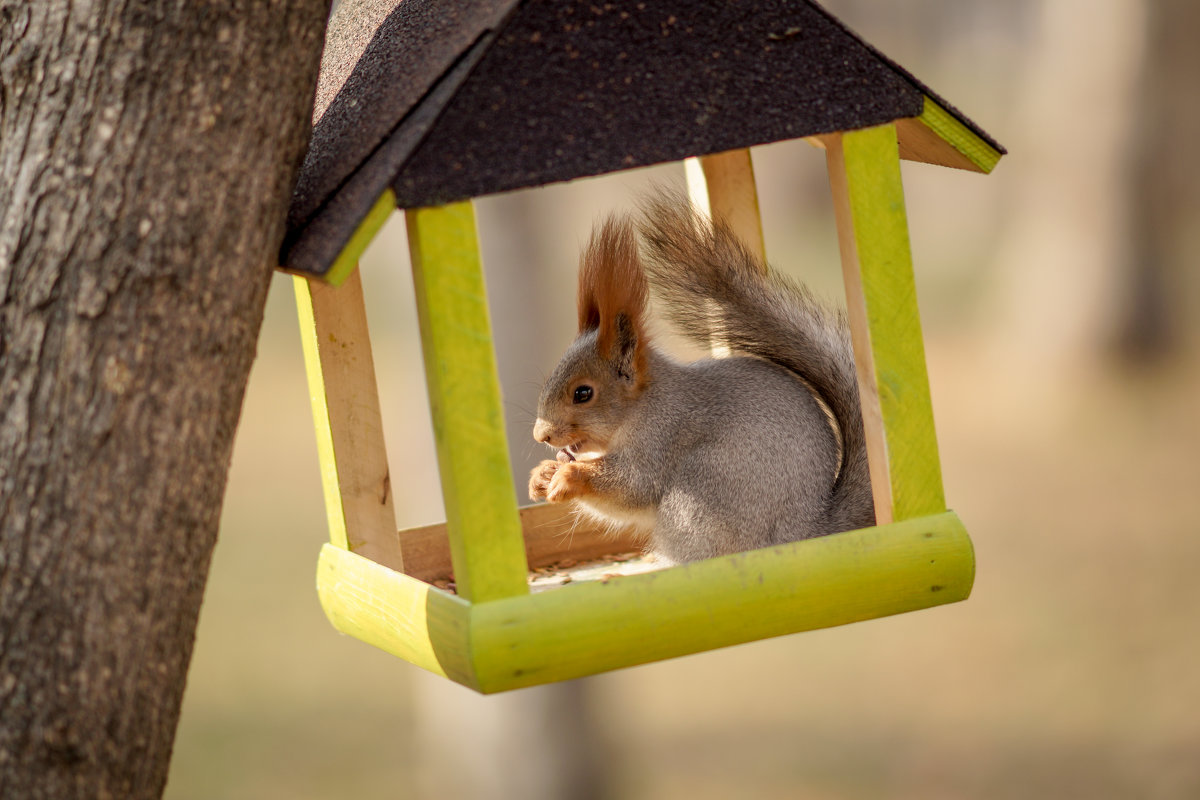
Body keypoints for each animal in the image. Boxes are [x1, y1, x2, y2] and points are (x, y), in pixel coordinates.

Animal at [530, 193, 878, 563]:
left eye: (583, 393)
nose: (541, 435)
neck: (642, 406)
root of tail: (807, 533)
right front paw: (543, 474)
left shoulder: (660, 438)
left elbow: (632, 487)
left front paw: (568, 476)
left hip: (696, 498)